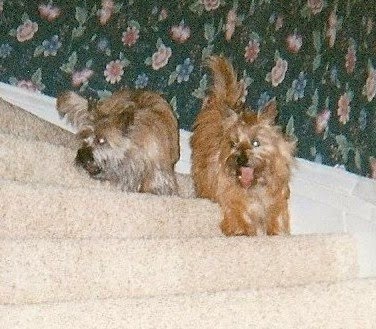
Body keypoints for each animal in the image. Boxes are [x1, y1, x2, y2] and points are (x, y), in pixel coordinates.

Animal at [192, 57, 296, 236]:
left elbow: (276, 215)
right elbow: (237, 213)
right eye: (233, 144)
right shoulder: (231, 198)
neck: (253, 188)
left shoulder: (276, 199)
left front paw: (277, 231)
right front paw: (242, 230)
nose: (240, 159)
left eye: (256, 142)